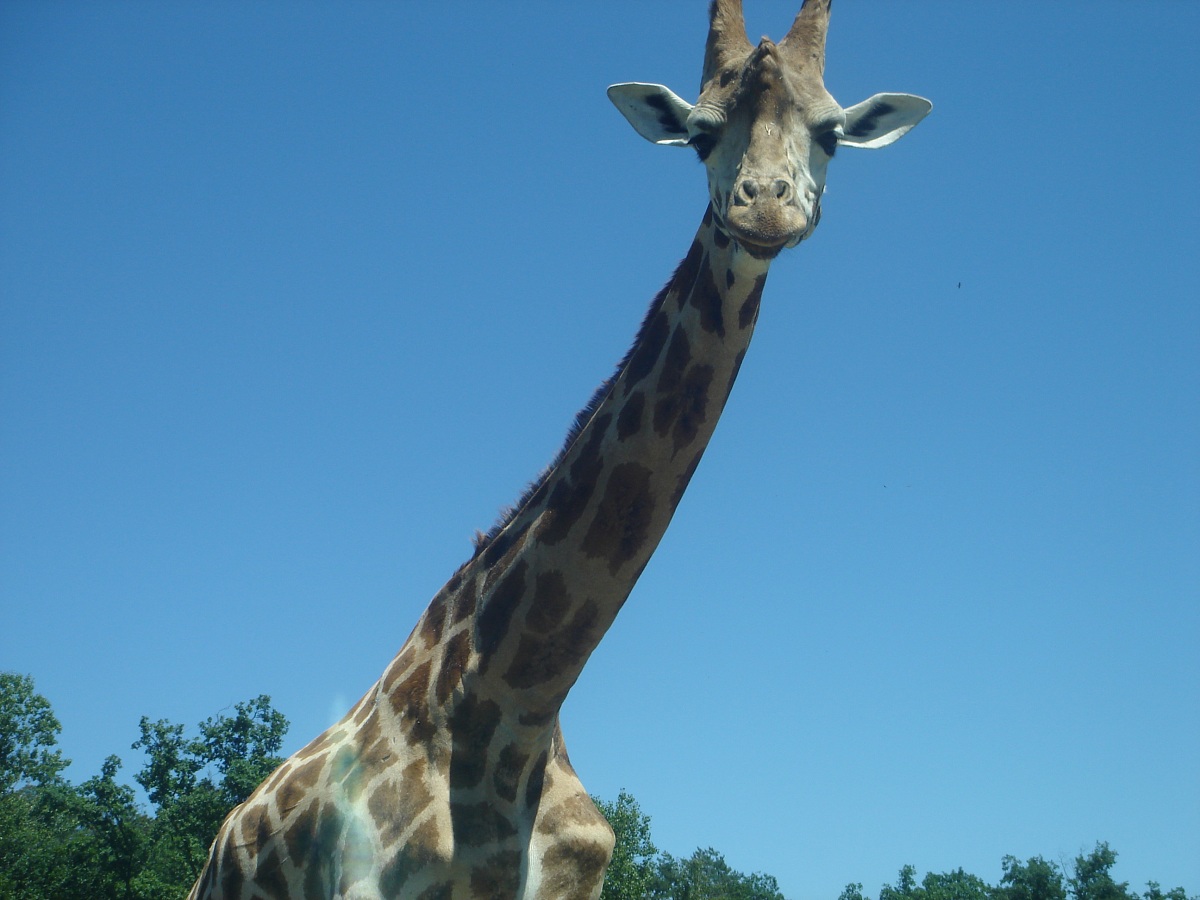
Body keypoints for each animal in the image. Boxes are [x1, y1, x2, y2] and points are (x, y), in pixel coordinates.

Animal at [188, 2, 929, 898]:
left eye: (829, 132)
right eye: (700, 134)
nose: (764, 209)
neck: (512, 711)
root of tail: (224, 834)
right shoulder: (363, 882)